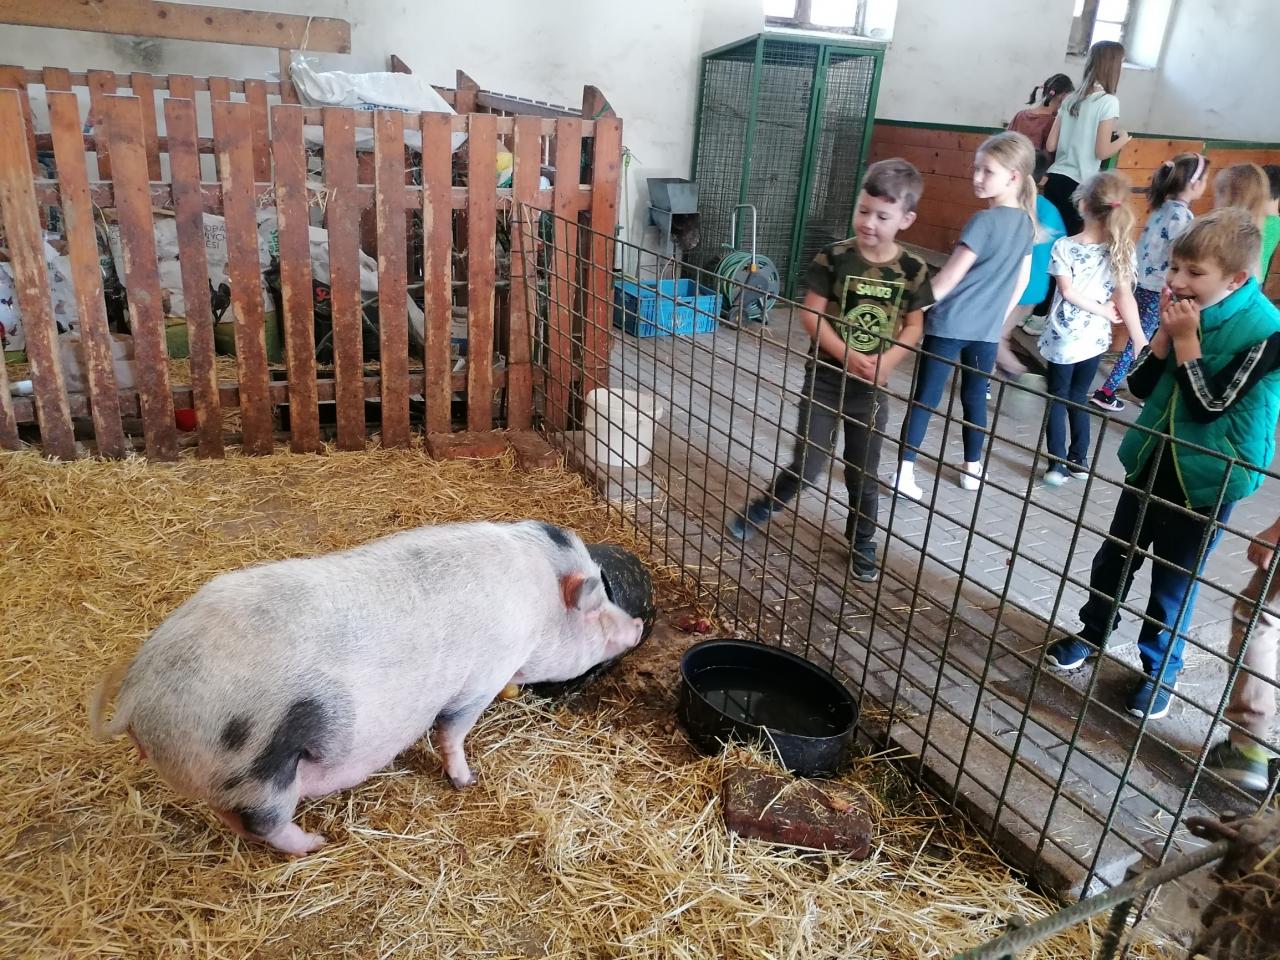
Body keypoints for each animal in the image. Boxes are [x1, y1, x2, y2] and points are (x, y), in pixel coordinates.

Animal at [88, 520, 645, 856]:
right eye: (596, 608)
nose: (638, 625)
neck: (539, 604)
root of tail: (139, 695)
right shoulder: (481, 678)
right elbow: (452, 730)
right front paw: (467, 781)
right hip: (256, 770)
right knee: (265, 823)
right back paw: (316, 842)